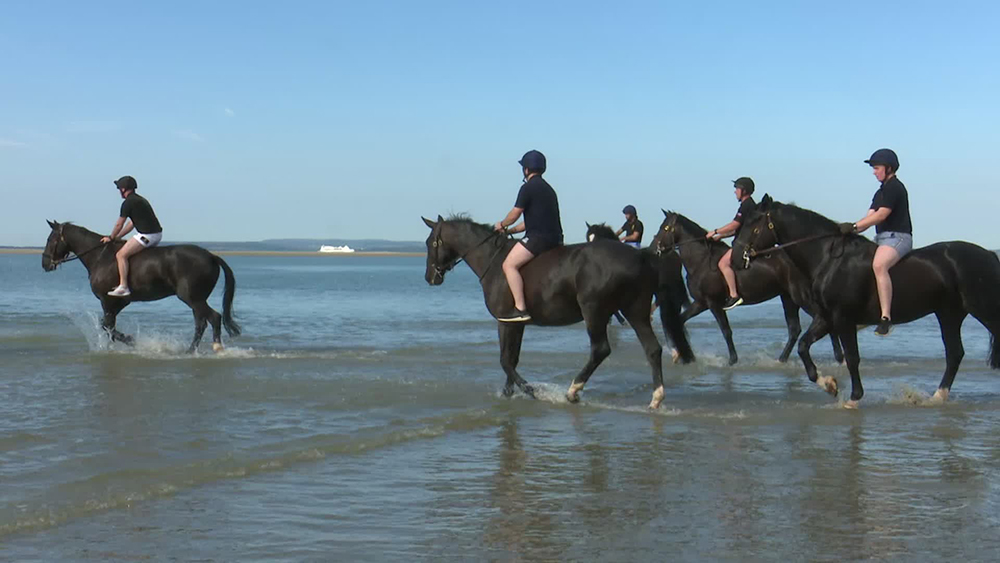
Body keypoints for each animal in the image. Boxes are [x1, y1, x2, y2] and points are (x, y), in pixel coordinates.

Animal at [42, 221, 241, 353]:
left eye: (51, 239)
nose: (44, 264)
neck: (100, 256)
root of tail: (211, 256)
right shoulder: (118, 303)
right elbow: (107, 326)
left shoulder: (108, 300)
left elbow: (107, 326)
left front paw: (130, 342)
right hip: (196, 300)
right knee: (201, 324)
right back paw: (190, 351)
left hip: (193, 298)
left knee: (213, 318)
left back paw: (216, 348)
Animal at [422, 215, 694, 409]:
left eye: (430, 243)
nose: (430, 278)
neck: (493, 260)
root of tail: (642, 256)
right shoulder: (517, 324)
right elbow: (512, 359)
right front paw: (509, 393)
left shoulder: (505, 321)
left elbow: (505, 361)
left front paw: (530, 390)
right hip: (635, 310)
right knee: (652, 349)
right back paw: (656, 398)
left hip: (594, 310)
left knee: (601, 349)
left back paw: (573, 391)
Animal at [650, 210, 843, 365]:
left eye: (665, 228)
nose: (652, 249)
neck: (702, 260)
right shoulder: (701, 303)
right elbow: (679, 321)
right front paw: (681, 354)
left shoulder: (713, 303)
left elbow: (726, 331)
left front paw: (732, 360)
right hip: (788, 298)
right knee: (795, 329)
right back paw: (782, 360)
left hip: (801, 296)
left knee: (821, 320)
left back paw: (839, 358)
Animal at [734, 195, 1000, 407]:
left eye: (754, 223)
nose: (736, 258)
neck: (829, 259)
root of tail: (988, 254)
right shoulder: (827, 318)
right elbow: (803, 346)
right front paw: (829, 385)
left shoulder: (844, 319)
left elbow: (852, 358)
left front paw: (853, 399)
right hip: (949, 314)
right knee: (954, 354)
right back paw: (937, 397)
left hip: (982, 310)